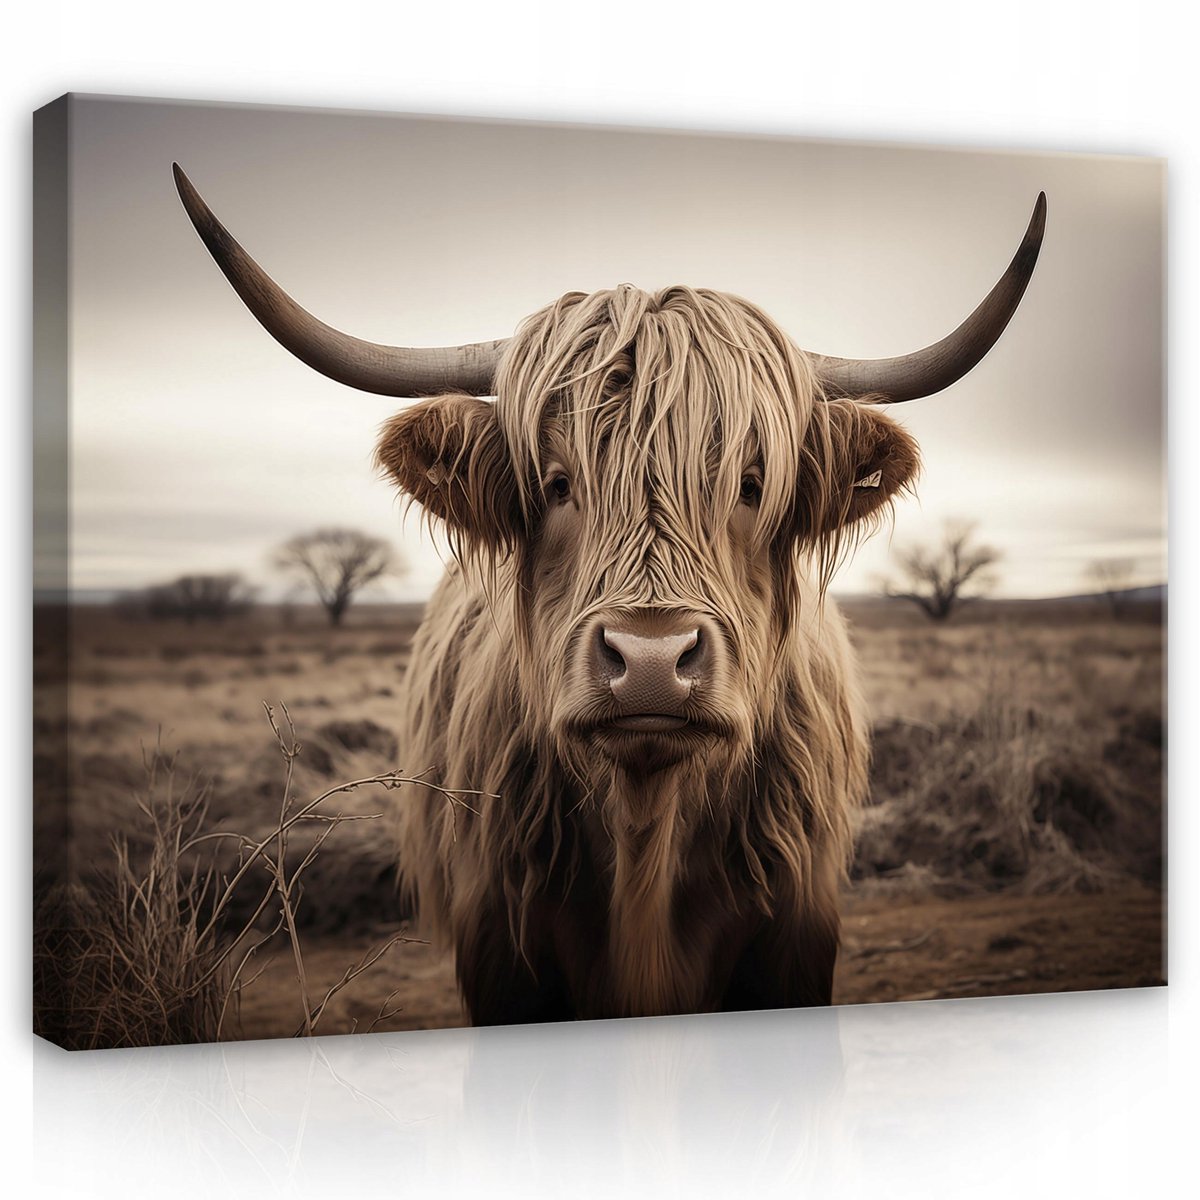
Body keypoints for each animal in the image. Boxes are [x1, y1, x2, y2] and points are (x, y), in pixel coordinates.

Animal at [174, 165, 1044, 1024]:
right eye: (559, 484)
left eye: (750, 485)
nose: (652, 660)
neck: (644, 833)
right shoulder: (501, 952)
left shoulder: (794, 937)